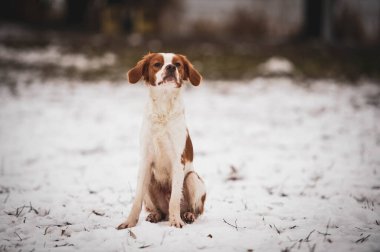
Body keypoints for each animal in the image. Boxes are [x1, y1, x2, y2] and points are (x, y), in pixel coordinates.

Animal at [118, 52, 206, 228]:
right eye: (157, 64)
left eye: (178, 64)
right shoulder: (145, 160)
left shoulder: (177, 160)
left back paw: (187, 215)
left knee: (193, 209)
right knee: (158, 210)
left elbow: (174, 199)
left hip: (192, 178)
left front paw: (176, 221)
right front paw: (129, 223)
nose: (170, 67)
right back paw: (155, 215)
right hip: (150, 182)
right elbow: (137, 200)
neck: (164, 109)